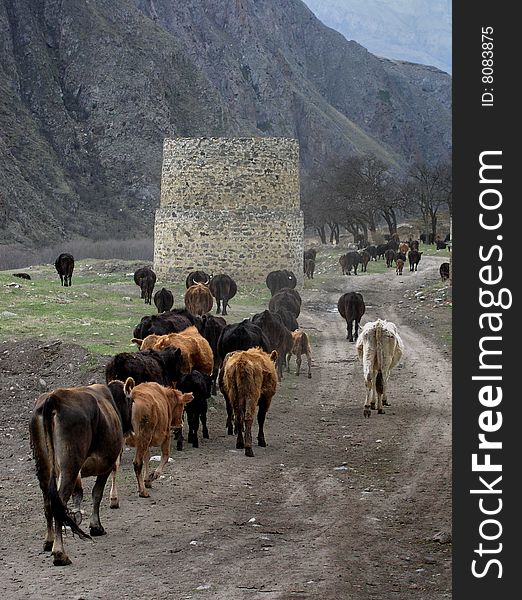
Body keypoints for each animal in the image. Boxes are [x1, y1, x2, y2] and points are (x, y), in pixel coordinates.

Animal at [29, 382, 133, 564]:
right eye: (132, 401)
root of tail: (54, 398)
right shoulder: (106, 465)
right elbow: (97, 494)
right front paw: (96, 527)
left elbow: (79, 493)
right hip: (69, 466)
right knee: (59, 502)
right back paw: (60, 553)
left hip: (44, 467)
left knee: (48, 502)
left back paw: (49, 541)